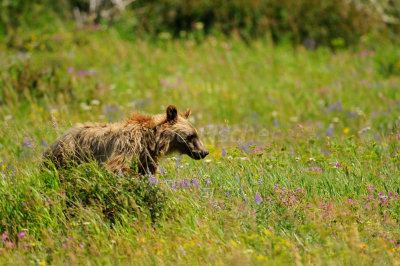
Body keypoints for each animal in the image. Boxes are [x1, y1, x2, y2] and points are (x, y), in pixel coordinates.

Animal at [43, 105, 209, 176]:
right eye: (191, 136)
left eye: (196, 134)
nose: (204, 152)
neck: (150, 140)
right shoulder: (128, 146)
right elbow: (116, 166)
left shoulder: (147, 156)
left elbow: (148, 171)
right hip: (67, 156)